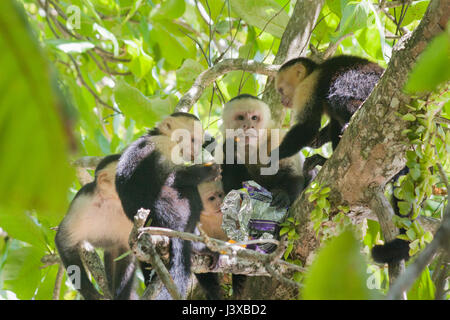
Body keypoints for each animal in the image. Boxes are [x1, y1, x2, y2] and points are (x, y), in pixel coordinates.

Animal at [55, 154, 135, 300]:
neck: (110, 200)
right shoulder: (82, 202)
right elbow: (64, 241)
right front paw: (90, 293)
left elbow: (126, 251)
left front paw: (121, 295)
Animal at [115, 112, 222, 300]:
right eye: (192, 139)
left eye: (197, 141)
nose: (195, 150)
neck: (159, 135)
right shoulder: (163, 146)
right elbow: (170, 178)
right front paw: (207, 171)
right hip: (172, 206)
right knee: (187, 192)